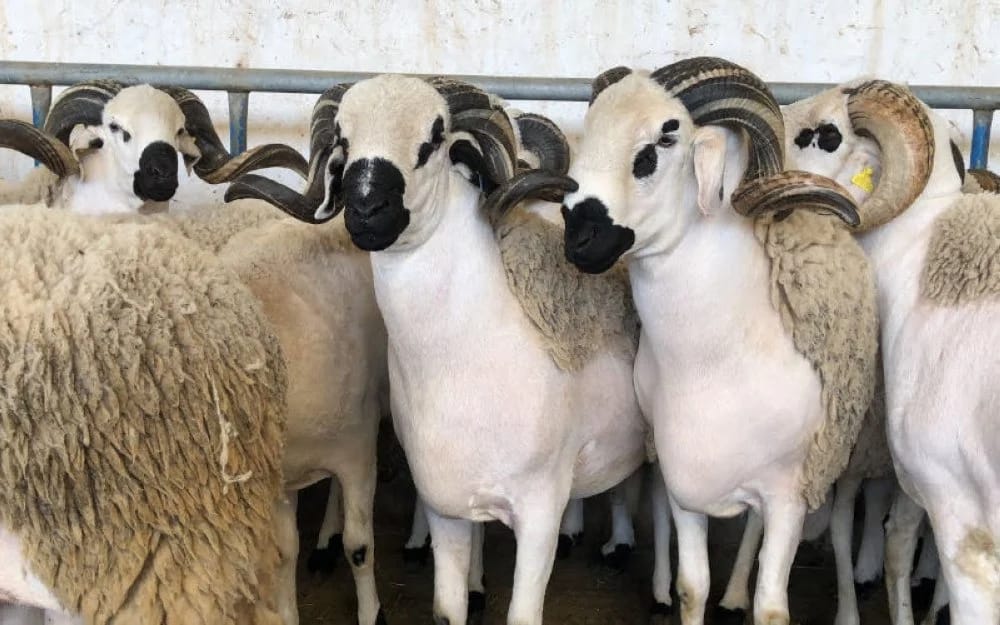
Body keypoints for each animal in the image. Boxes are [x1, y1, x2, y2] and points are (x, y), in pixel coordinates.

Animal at [222, 74, 651, 625]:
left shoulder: (539, 513)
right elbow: (447, 610)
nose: (365, 211)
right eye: (343, 141)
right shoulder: (446, 506)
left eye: (434, 139)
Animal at [559, 57, 879, 625]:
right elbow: (692, 586)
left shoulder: (788, 495)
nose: (577, 237)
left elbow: (772, 607)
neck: (713, 362)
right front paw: (690, 593)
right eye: (591, 127)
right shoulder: (684, 486)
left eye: (664, 140)